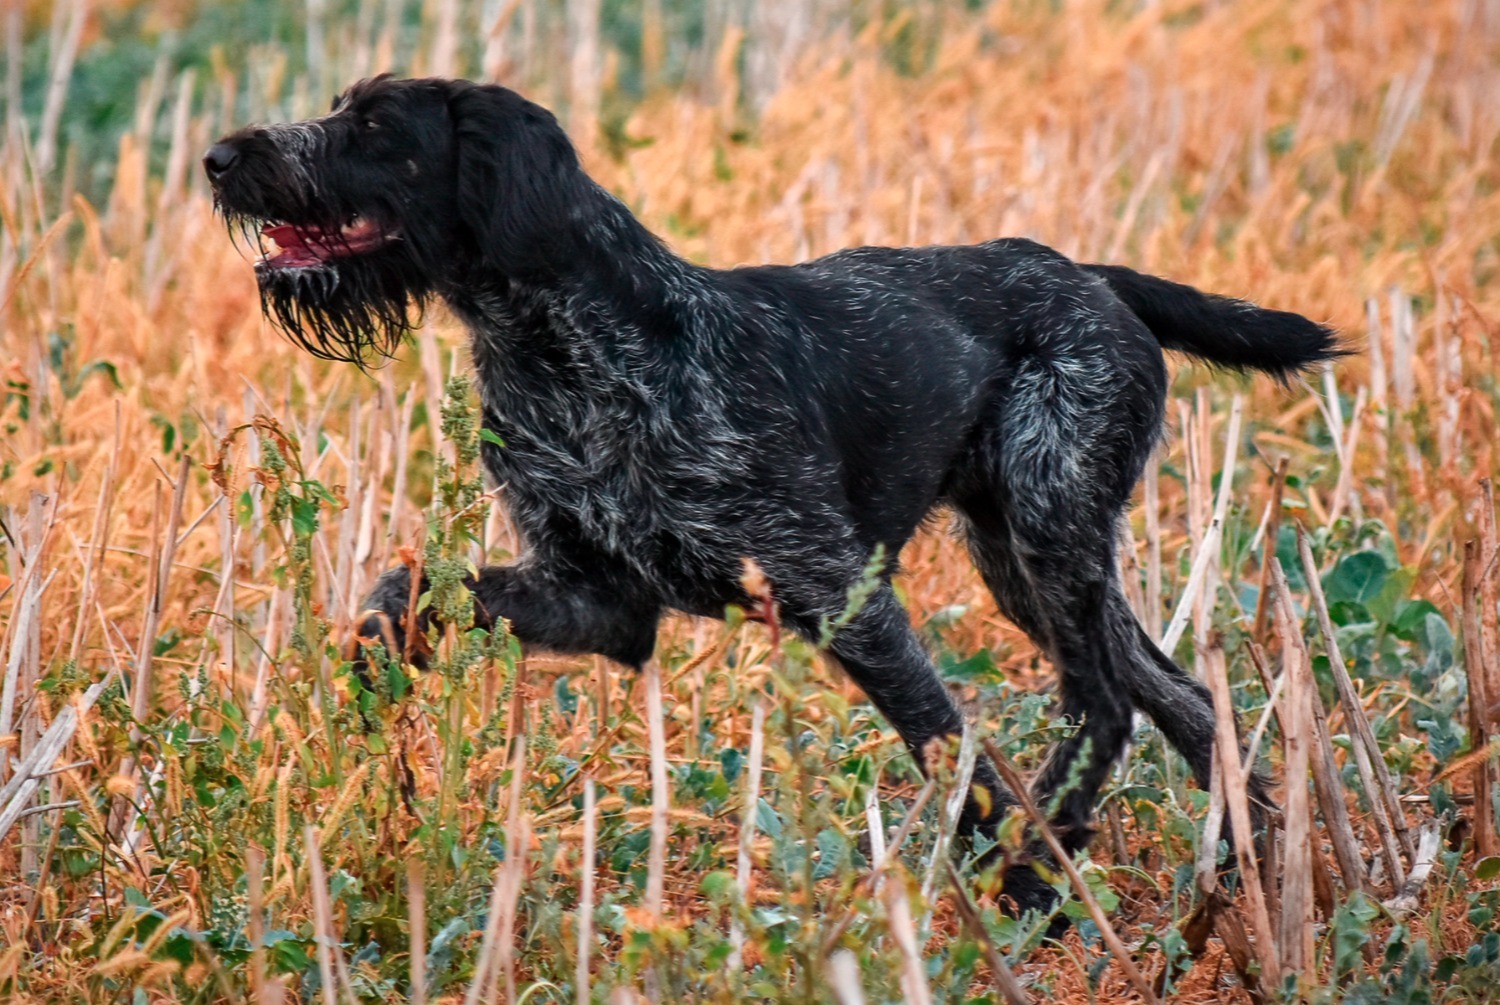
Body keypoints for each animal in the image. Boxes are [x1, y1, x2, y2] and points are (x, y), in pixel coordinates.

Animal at [205, 75, 1344, 918]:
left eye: (374, 126)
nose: (219, 157)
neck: (558, 345)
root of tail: (1090, 277)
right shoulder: (596, 595)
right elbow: (408, 588)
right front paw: (373, 671)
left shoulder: (843, 595)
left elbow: (948, 747)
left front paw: (1017, 890)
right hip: (1027, 559)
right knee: (1180, 694)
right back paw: (1250, 871)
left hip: (1050, 524)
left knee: (1106, 700)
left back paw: (1066, 847)